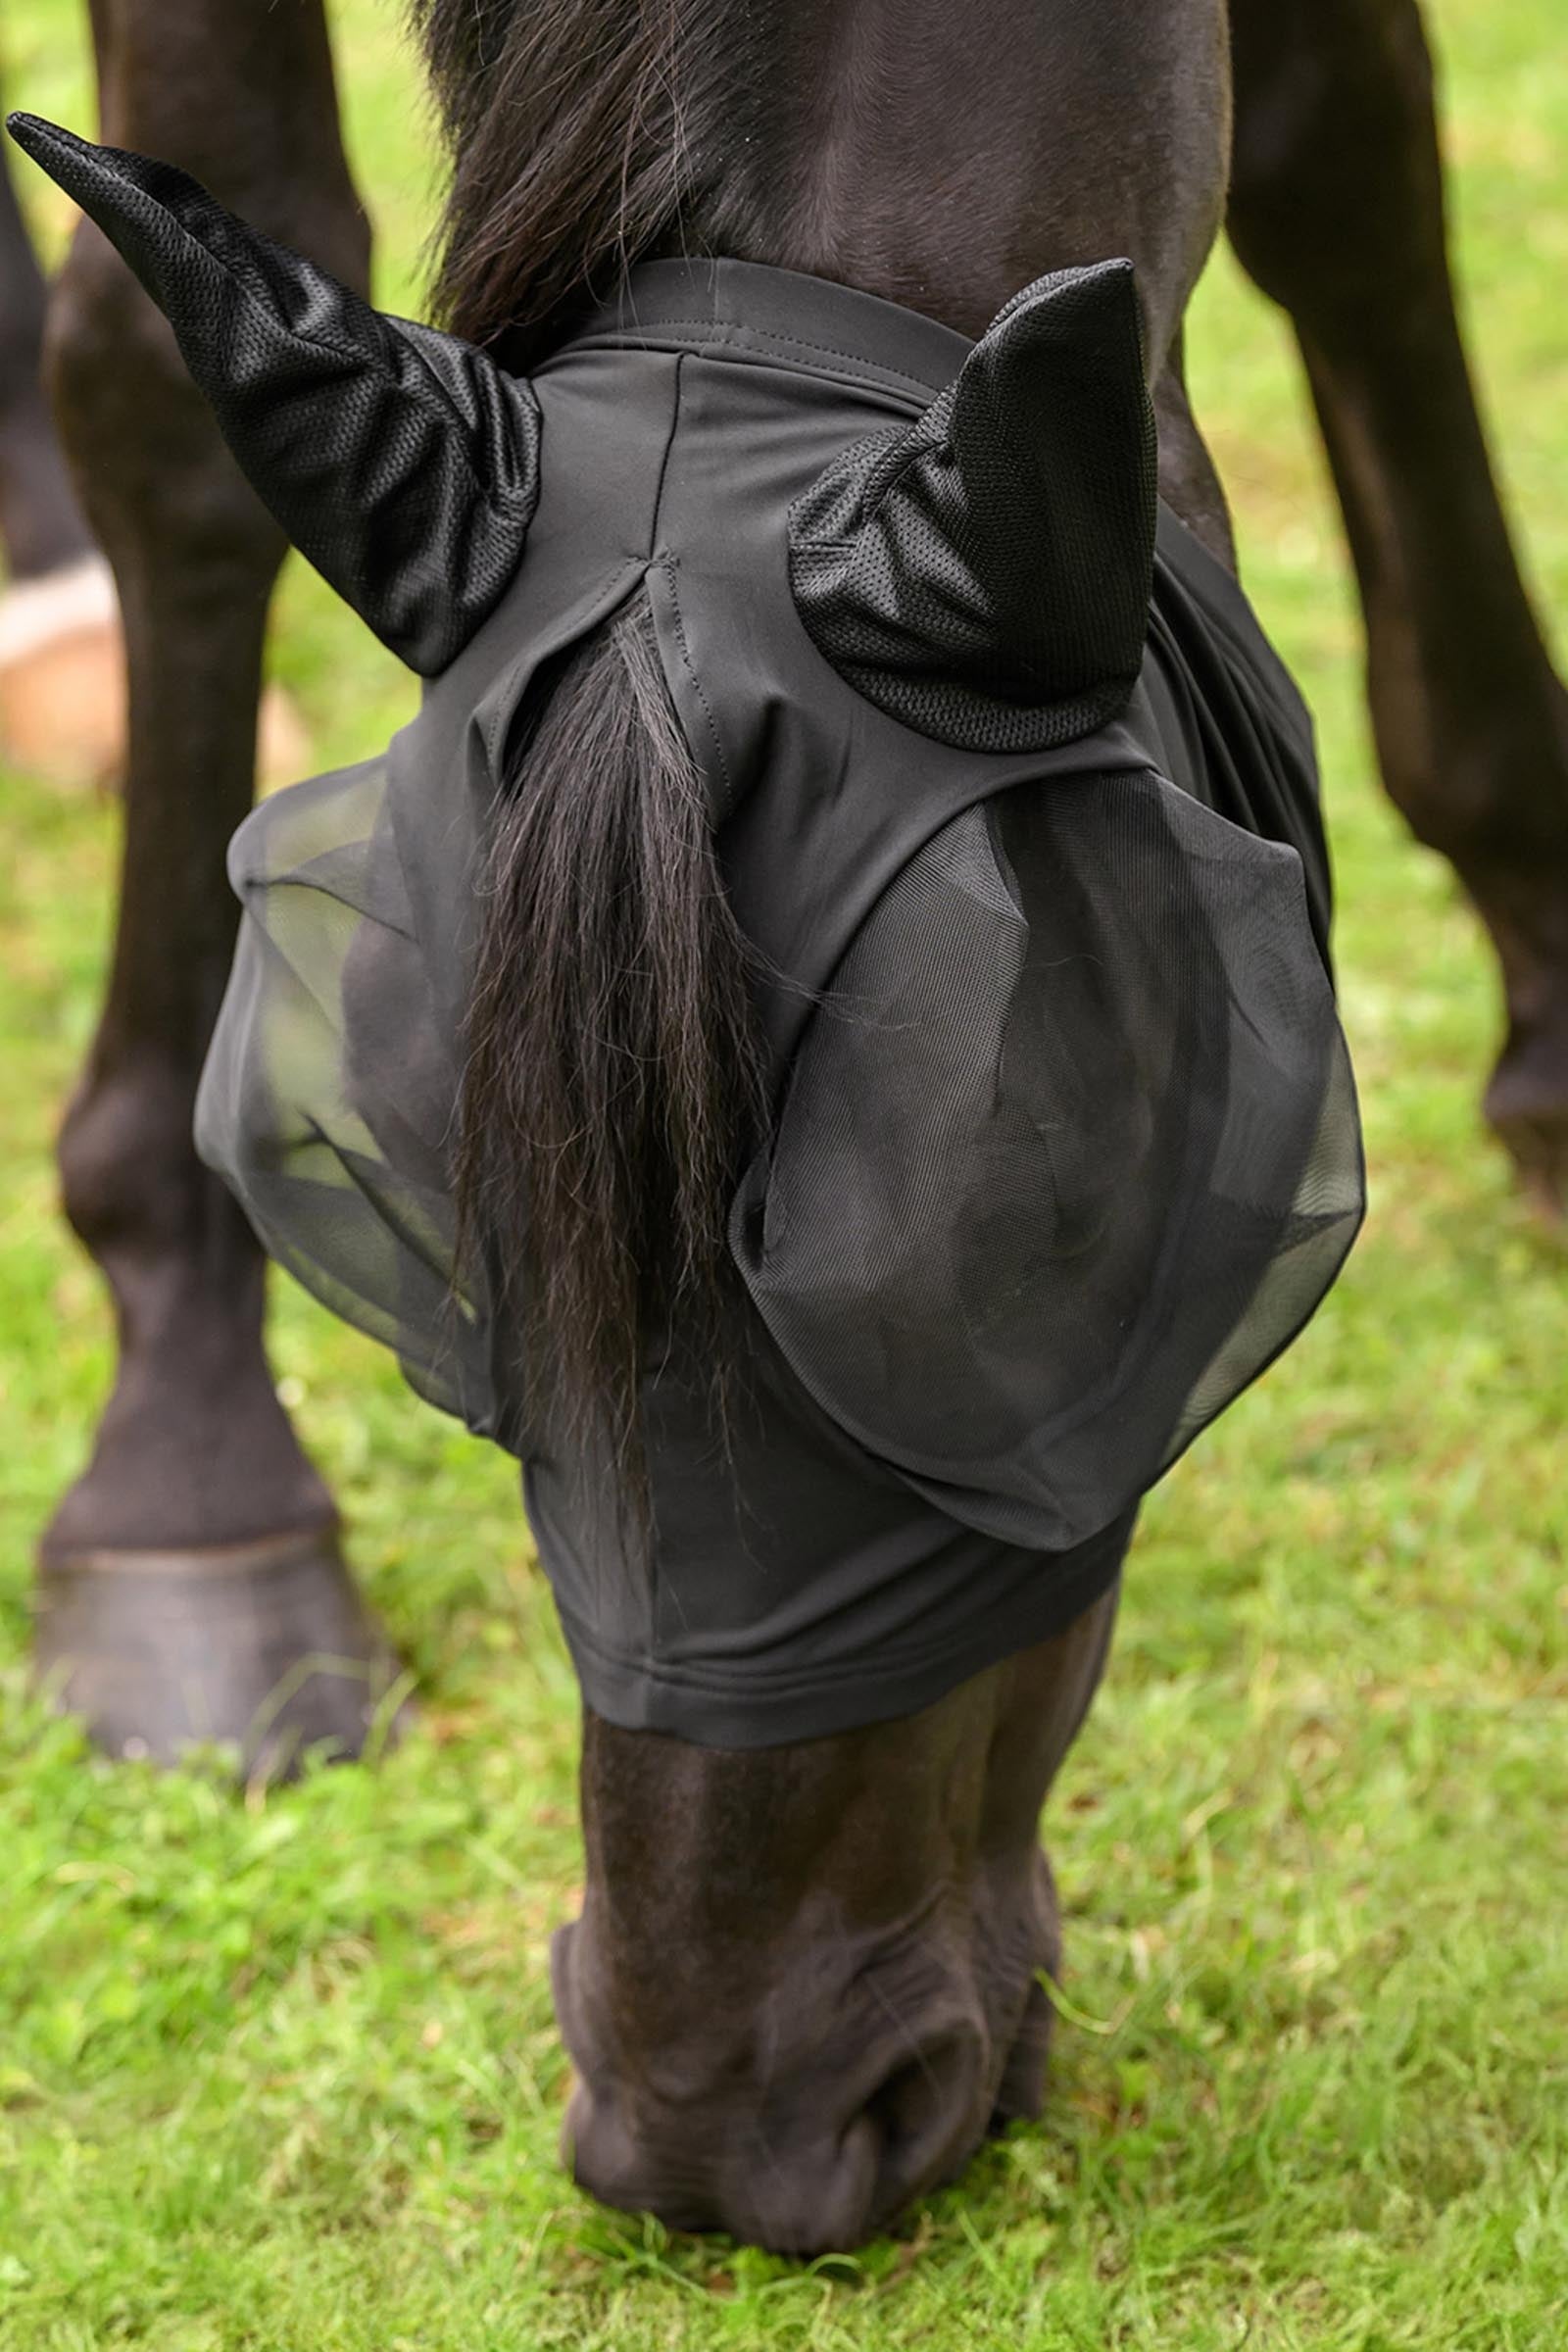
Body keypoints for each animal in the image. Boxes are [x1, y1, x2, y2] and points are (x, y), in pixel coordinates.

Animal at [7, 0, 1566, 2257]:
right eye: (419, 1180)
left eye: (1035, 1231)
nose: (720, 2130)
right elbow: (152, 397)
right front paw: (188, 1482)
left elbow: (1339, 160)